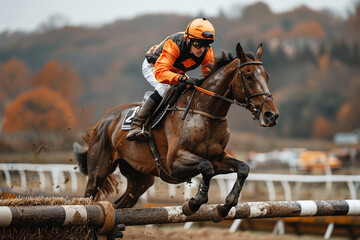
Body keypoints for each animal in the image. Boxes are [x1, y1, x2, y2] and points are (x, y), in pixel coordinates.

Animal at [73, 42, 280, 222]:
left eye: (268, 76)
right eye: (248, 76)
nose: (271, 115)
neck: (205, 112)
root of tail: (104, 120)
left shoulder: (218, 157)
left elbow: (243, 168)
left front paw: (223, 208)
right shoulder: (174, 162)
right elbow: (206, 167)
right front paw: (193, 203)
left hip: (140, 178)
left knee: (120, 204)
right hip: (99, 171)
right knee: (89, 196)